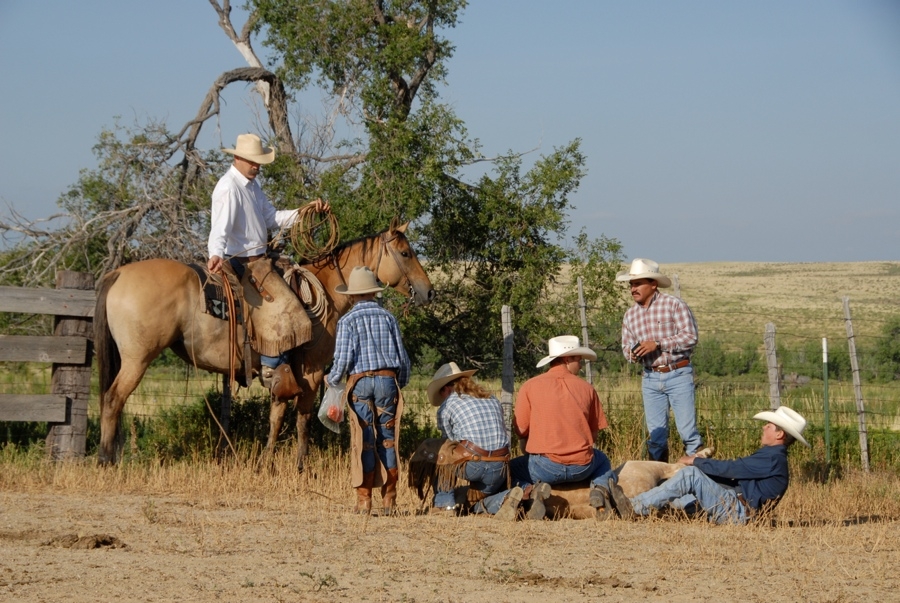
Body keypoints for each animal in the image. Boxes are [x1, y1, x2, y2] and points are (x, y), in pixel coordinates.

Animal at [94, 221, 432, 468]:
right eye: (405, 253)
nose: (428, 292)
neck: (325, 292)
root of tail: (117, 273)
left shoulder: (287, 372)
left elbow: (276, 415)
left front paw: (267, 462)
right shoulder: (311, 372)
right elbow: (302, 419)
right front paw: (300, 465)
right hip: (137, 359)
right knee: (112, 399)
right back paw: (106, 459)